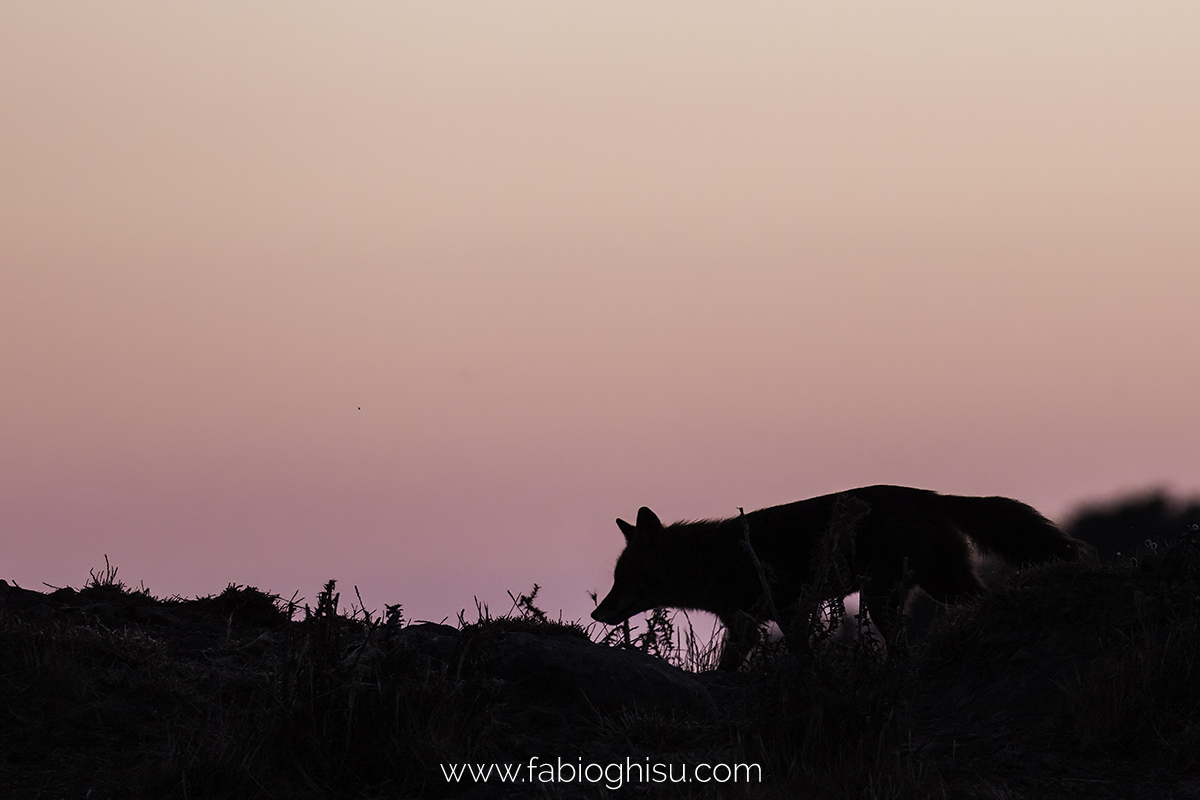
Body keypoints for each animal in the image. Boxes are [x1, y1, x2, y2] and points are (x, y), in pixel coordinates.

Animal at [590, 489, 1089, 671]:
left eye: (624, 578)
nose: (597, 612)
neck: (713, 557)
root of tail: (929, 493)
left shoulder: (786, 609)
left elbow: (799, 652)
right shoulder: (746, 624)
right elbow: (731, 665)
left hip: (906, 592)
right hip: (911, 592)